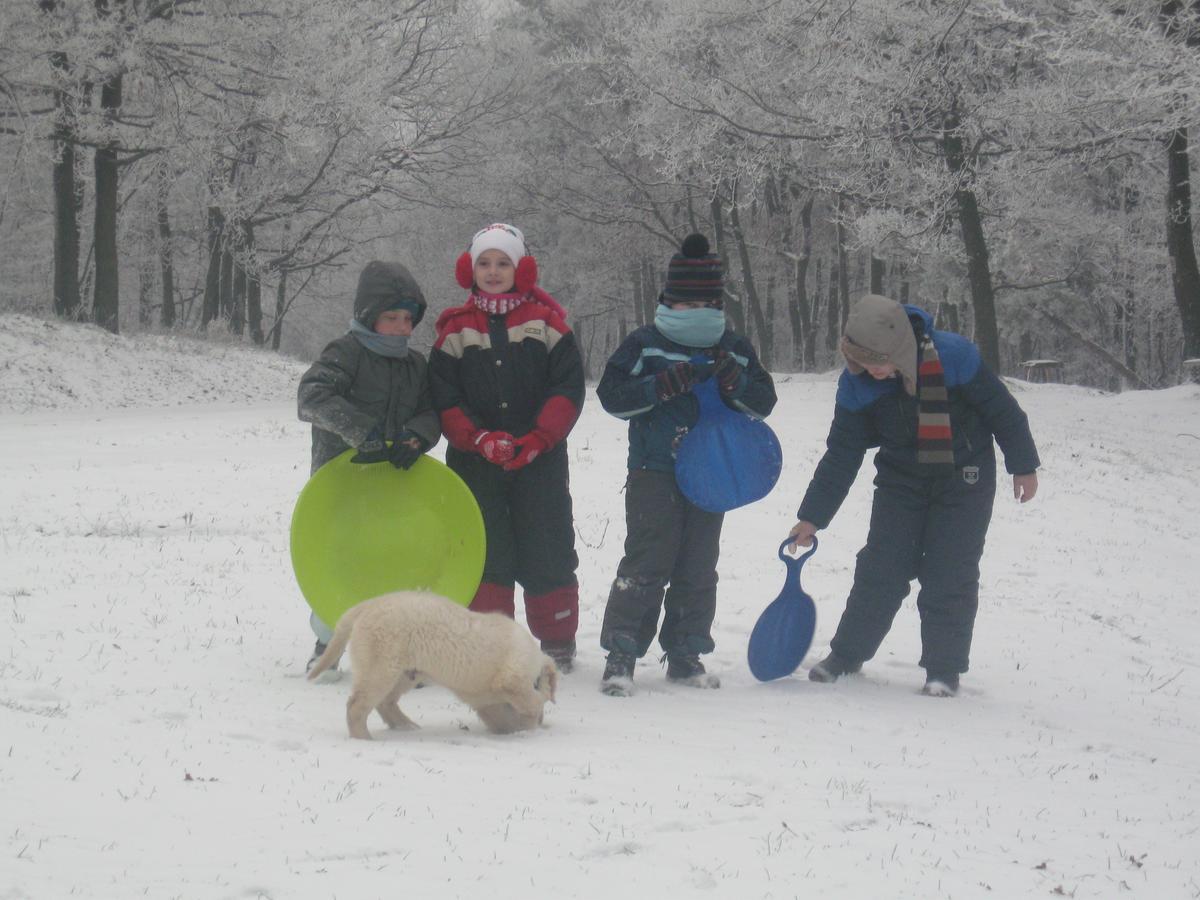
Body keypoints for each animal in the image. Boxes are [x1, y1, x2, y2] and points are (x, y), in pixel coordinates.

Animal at [304, 592, 556, 739]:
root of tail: (365, 606)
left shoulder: (488, 700)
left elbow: (505, 716)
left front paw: (522, 726)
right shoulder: (511, 679)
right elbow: (531, 702)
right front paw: (534, 721)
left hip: (405, 673)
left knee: (385, 703)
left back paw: (406, 726)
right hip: (380, 669)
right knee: (356, 706)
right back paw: (364, 738)